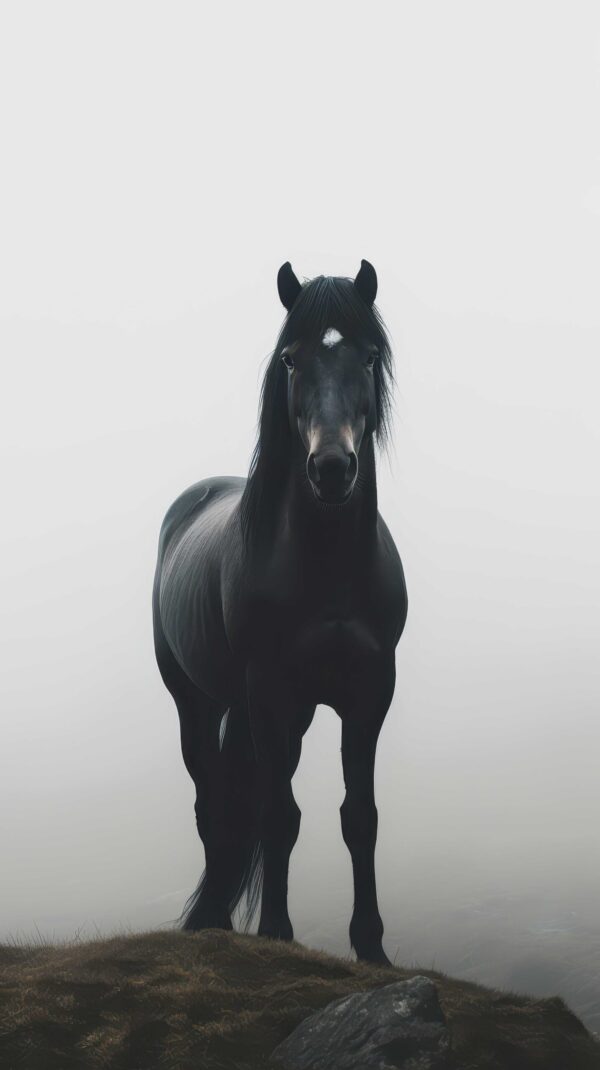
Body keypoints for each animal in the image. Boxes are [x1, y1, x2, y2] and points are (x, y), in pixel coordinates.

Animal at [152, 260, 408, 965]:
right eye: (291, 358)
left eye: (368, 355)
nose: (332, 467)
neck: (328, 570)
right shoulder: (269, 691)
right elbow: (277, 815)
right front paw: (275, 933)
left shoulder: (369, 694)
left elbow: (360, 816)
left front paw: (371, 947)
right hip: (198, 702)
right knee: (212, 804)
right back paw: (212, 917)